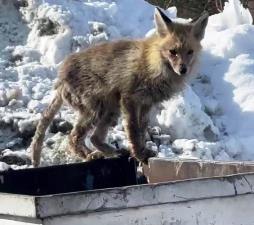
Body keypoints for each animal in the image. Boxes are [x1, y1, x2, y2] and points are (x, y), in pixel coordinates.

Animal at [29, 7, 208, 167]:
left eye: (190, 52)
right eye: (173, 52)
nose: (183, 70)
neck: (153, 66)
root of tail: (61, 77)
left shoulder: (146, 103)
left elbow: (142, 131)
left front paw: (142, 152)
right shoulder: (130, 98)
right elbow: (134, 131)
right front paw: (139, 154)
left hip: (110, 111)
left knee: (94, 138)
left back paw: (112, 152)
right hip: (96, 110)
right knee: (73, 138)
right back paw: (90, 156)